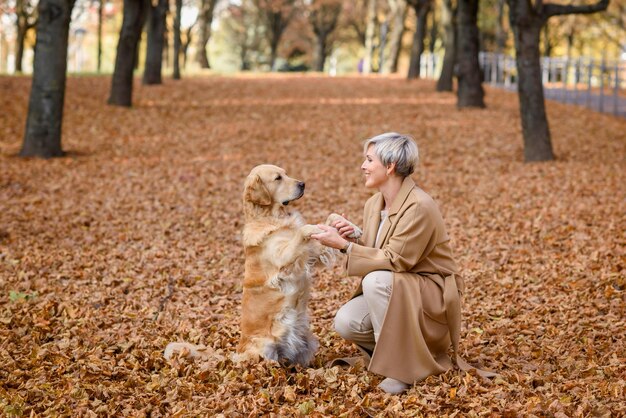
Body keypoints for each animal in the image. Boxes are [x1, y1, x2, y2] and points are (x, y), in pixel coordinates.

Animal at [165, 165, 360, 368]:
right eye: (278, 178)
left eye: (286, 173)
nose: (303, 184)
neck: (273, 217)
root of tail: (236, 353)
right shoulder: (285, 258)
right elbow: (302, 230)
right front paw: (315, 228)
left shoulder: (311, 254)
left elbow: (330, 218)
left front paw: (351, 228)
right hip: (264, 346)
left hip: (308, 340)